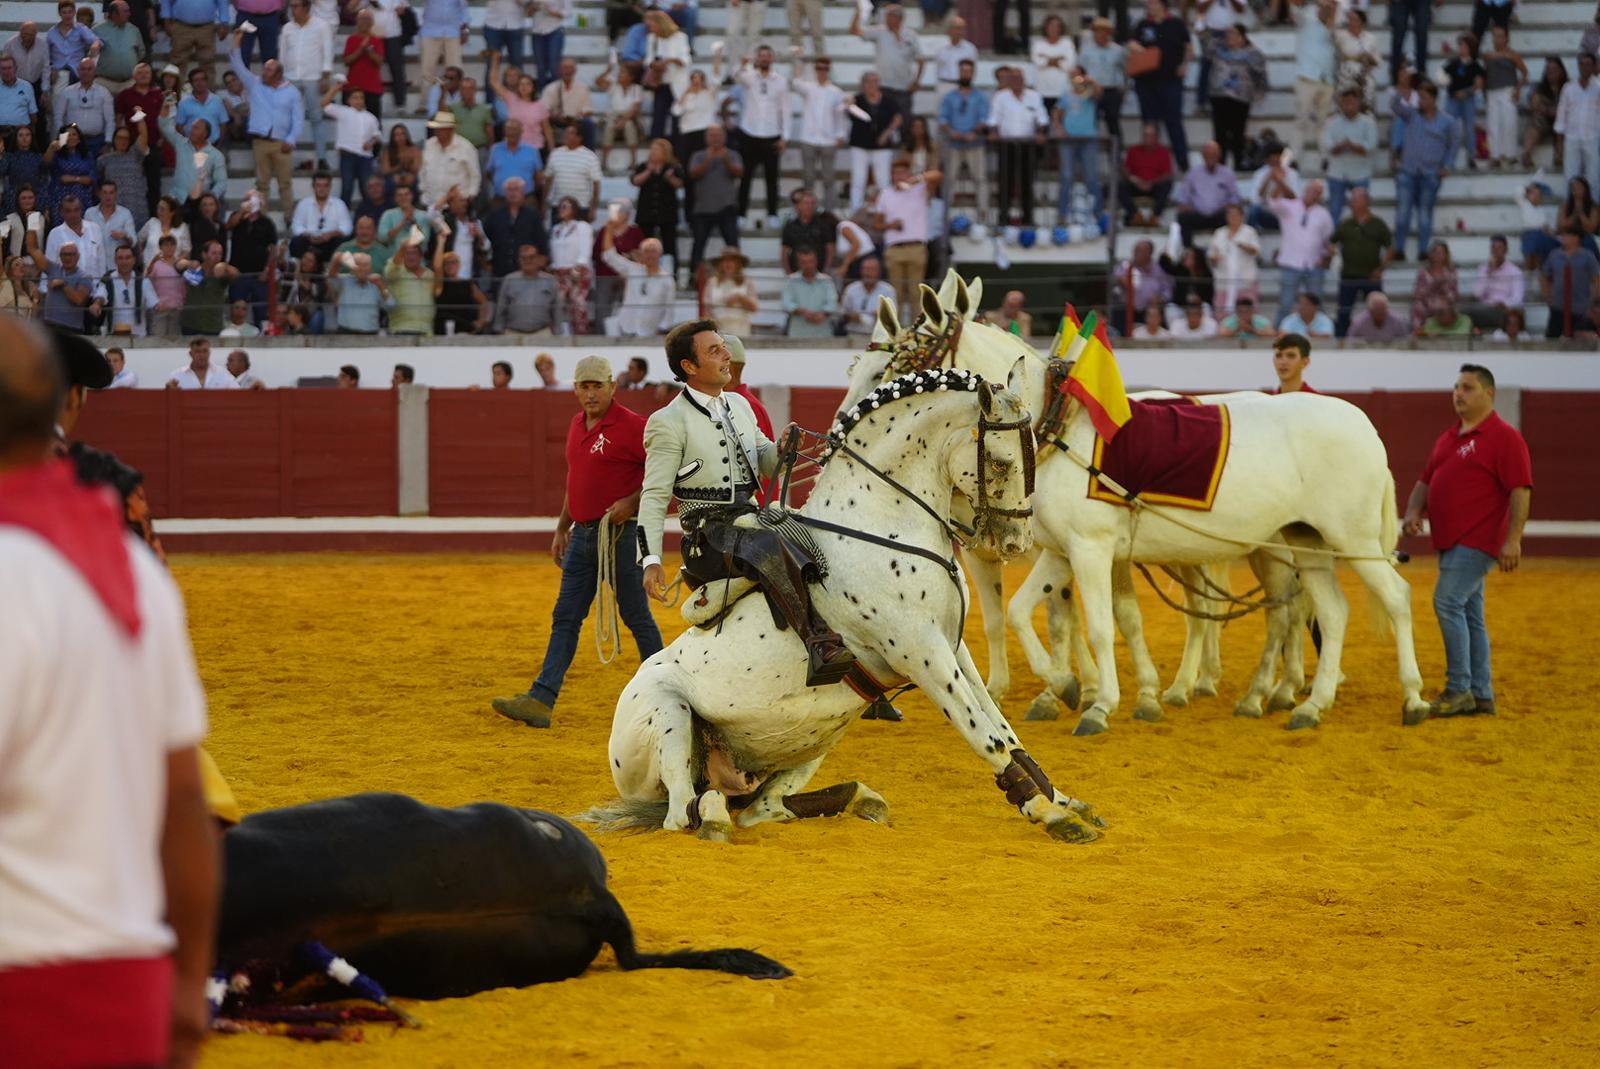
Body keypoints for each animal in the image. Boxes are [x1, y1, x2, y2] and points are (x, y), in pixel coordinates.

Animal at [595, 368, 1107, 844]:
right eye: (1000, 463)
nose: (1016, 541)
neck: (880, 523)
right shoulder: (922, 653)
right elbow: (987, 735)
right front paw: (1050, 814)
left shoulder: (953, 648)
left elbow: (1005, 728)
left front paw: (1066, 801)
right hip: (671, 715)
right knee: (686, 810)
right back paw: (717, 815)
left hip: (816, 736)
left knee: (763, 808)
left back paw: (861, 799)